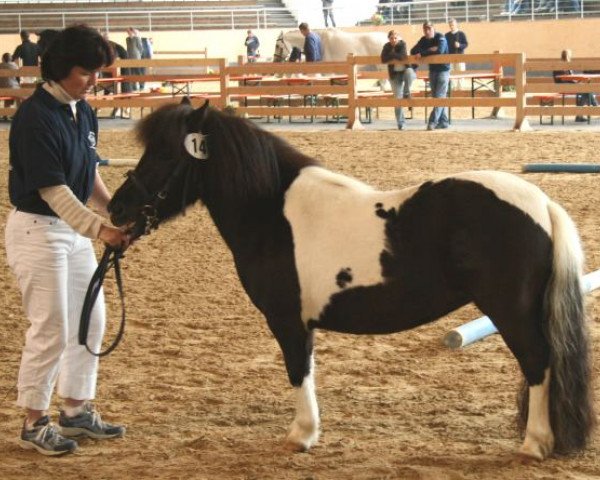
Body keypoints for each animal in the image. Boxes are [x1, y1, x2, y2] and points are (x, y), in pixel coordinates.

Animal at [109, 101, 596, 462]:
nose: (116, 208)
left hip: (509, 311)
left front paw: (302, 435)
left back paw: (534, 444)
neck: (271, 212)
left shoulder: (287, 320)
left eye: (165, 155)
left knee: (538, 363)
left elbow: (298, 370)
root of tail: (541, 202)